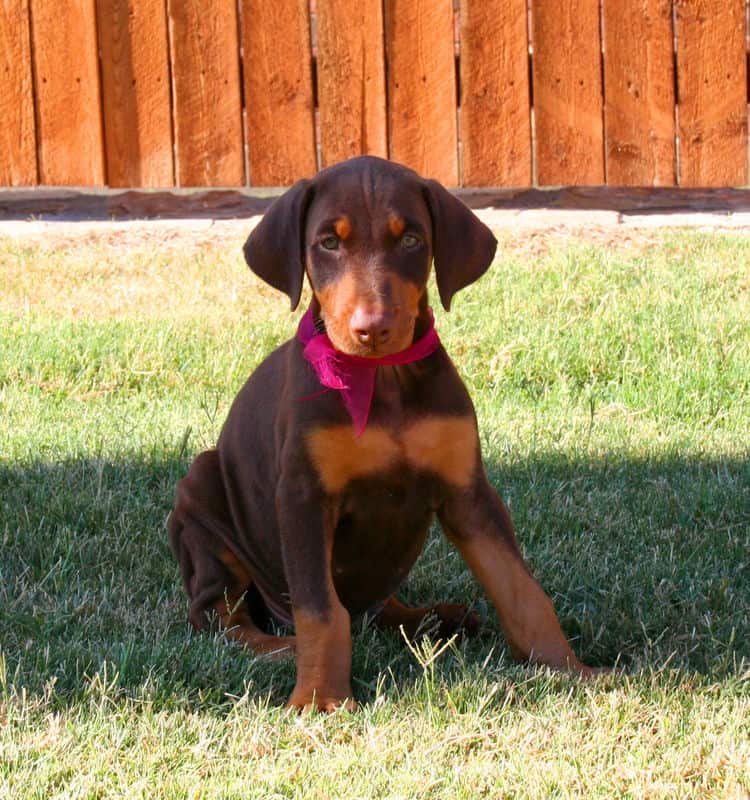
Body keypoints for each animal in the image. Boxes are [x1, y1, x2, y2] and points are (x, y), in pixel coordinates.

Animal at [169, 156, 600, 712]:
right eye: (328, 243)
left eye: (411, 240)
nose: (371, 328)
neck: (383, 378)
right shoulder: (303, 497)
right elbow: (320, 610)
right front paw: (319, 698)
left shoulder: (468, 493)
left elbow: (519, 587)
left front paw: (568, 668)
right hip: (201, 500)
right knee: (221, 615)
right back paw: (282, 648)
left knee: (375, 609)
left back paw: (434, 619)